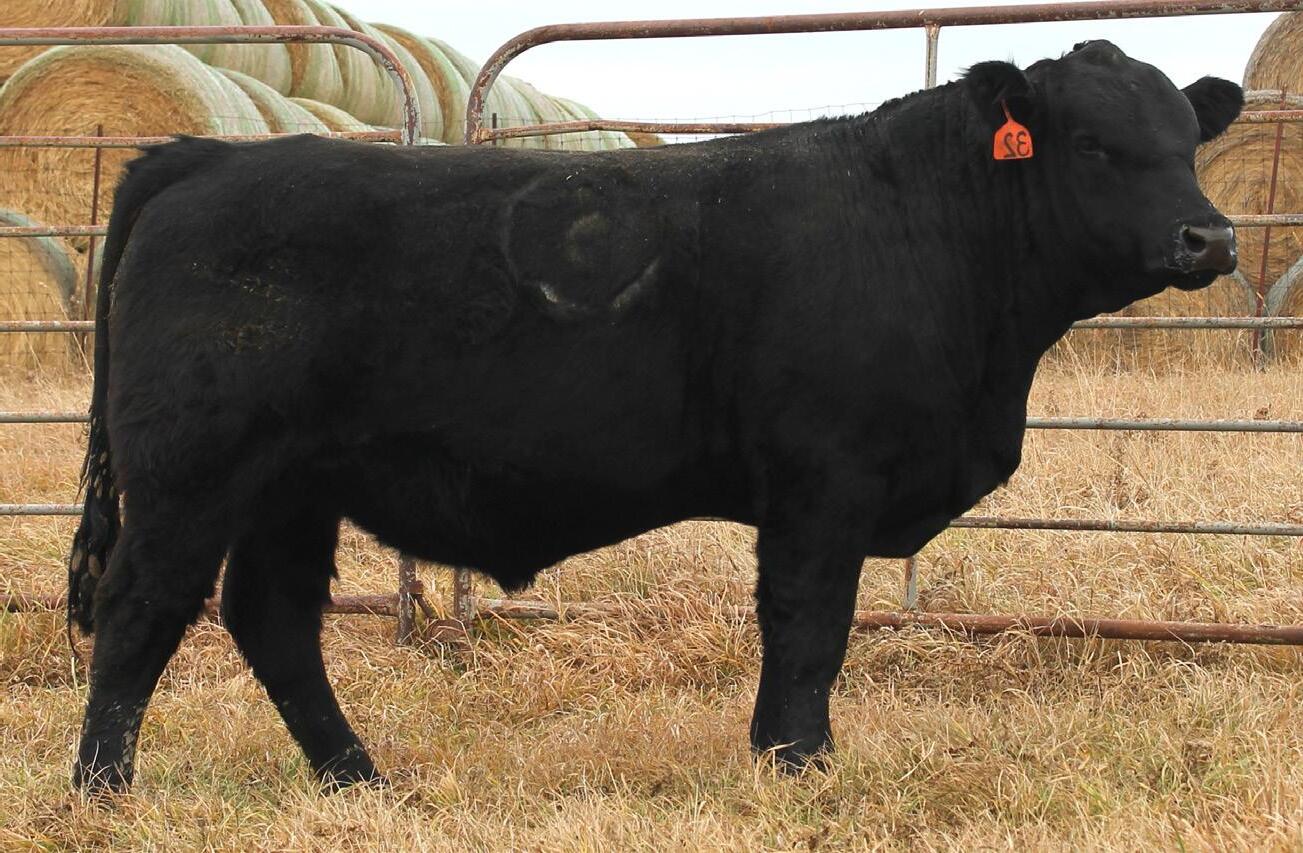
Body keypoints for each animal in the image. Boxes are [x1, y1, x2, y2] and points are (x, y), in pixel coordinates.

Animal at [67, 40, 1241, 794]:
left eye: (1188, 138)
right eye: (1091, 143)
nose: (1211, 237)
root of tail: (207, 156)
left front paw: (785, 759)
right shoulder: (825, 478)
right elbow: (808, 626)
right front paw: (797, 767)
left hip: (292, 488)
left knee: (273, 622)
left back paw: (359, 780)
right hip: (191, 475)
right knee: (139, 612)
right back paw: (103, 790)